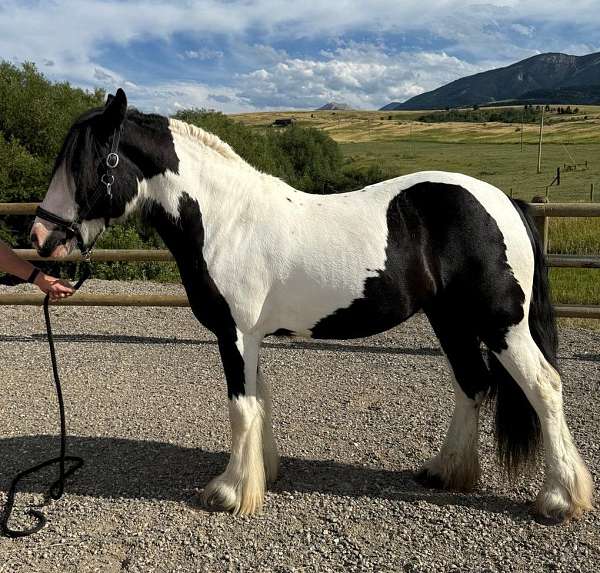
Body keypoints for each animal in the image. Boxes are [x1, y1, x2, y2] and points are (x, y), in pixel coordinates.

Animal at [30, 88, 592, 520]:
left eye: (91, 162)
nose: (40, 237)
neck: (227, 219)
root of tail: (504, 202)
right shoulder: (251, 337)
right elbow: (259, 402)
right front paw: (263, 473)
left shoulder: (234, 335)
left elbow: (241, 407)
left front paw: (229, 492)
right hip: (450, 319)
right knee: (472, 384)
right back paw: (445, 472)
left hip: (501, 325)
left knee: (544, 387)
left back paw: (560, 499)